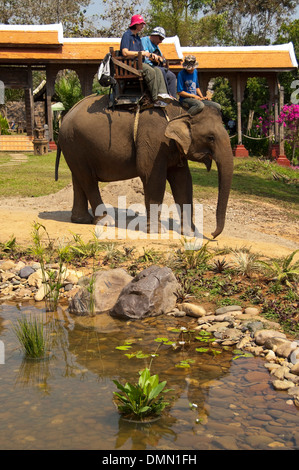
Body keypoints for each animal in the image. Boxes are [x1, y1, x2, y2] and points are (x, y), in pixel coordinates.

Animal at [56, 93, 234, 237]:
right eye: (211, 137)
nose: (213, 234)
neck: (180, 111)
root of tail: (66, 115)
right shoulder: (153, 140)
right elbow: (153, 177)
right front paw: (157, 232)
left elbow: (183, 181)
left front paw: (190, 233)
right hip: (75, 144)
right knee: (89, 180)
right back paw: (106, 221)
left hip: (73, 146)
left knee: (79, 178)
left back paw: (81, 220)